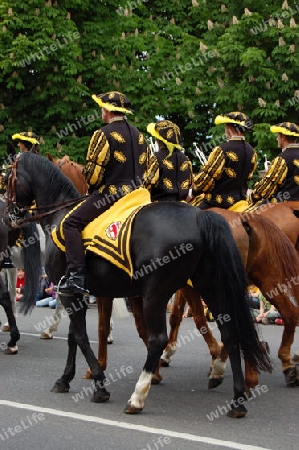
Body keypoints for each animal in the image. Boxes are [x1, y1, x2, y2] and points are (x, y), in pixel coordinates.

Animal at [4, 153, 274, 416]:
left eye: (6, 177)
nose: (8, 216)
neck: (61, 214)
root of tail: (199, 216)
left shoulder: (70, 293)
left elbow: (81, 336)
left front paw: (99, 385)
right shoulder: (78, 295)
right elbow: (74, 337)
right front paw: (65, 379)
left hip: (157, 293)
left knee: (158, 338)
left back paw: (138, 396)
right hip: (211, 286)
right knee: (230, 331)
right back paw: (236, 396)